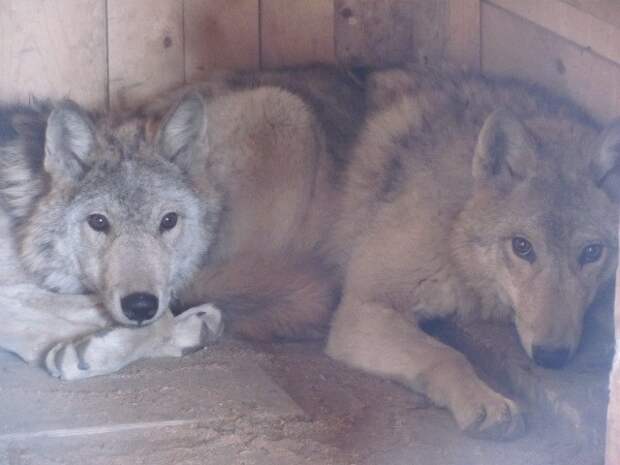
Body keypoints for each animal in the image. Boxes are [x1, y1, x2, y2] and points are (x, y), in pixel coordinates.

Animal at [324, 65, 620, 438]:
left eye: (592, 253)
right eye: (522, 247)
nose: (551, 357)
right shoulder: (363, 307)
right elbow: (447, 355)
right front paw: (485, 402)